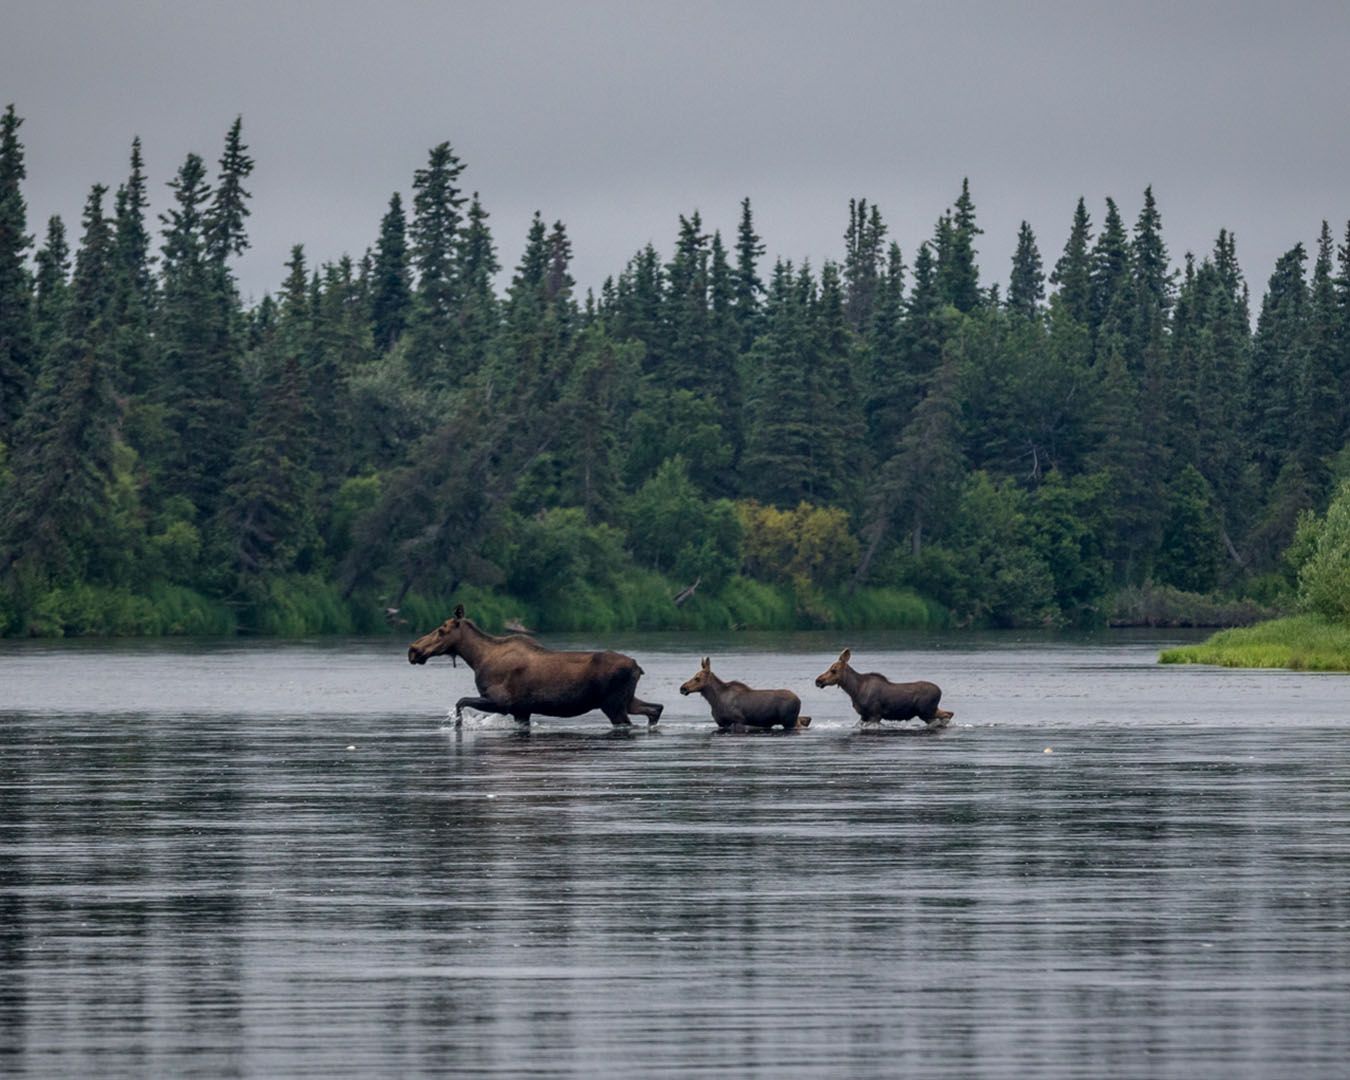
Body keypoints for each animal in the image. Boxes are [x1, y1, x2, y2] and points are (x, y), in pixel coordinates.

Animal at [407, 602, 666, 729]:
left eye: (442, 629)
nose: (413, 650)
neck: (476, 658)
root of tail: (637, 667)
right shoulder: (521, 710)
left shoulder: (501, 702)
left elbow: (460, 702)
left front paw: (458, 725)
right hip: (626, 700)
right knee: (656, 709)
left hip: (613, 705)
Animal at [804, 645, 955, 729]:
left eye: (833, 670)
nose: (818, 680)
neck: (854, 690)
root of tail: (940, 691)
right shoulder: (864, 716)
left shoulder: (875, 714)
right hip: (930, 710)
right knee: (949, 713)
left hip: (926, 711)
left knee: (945, 716)